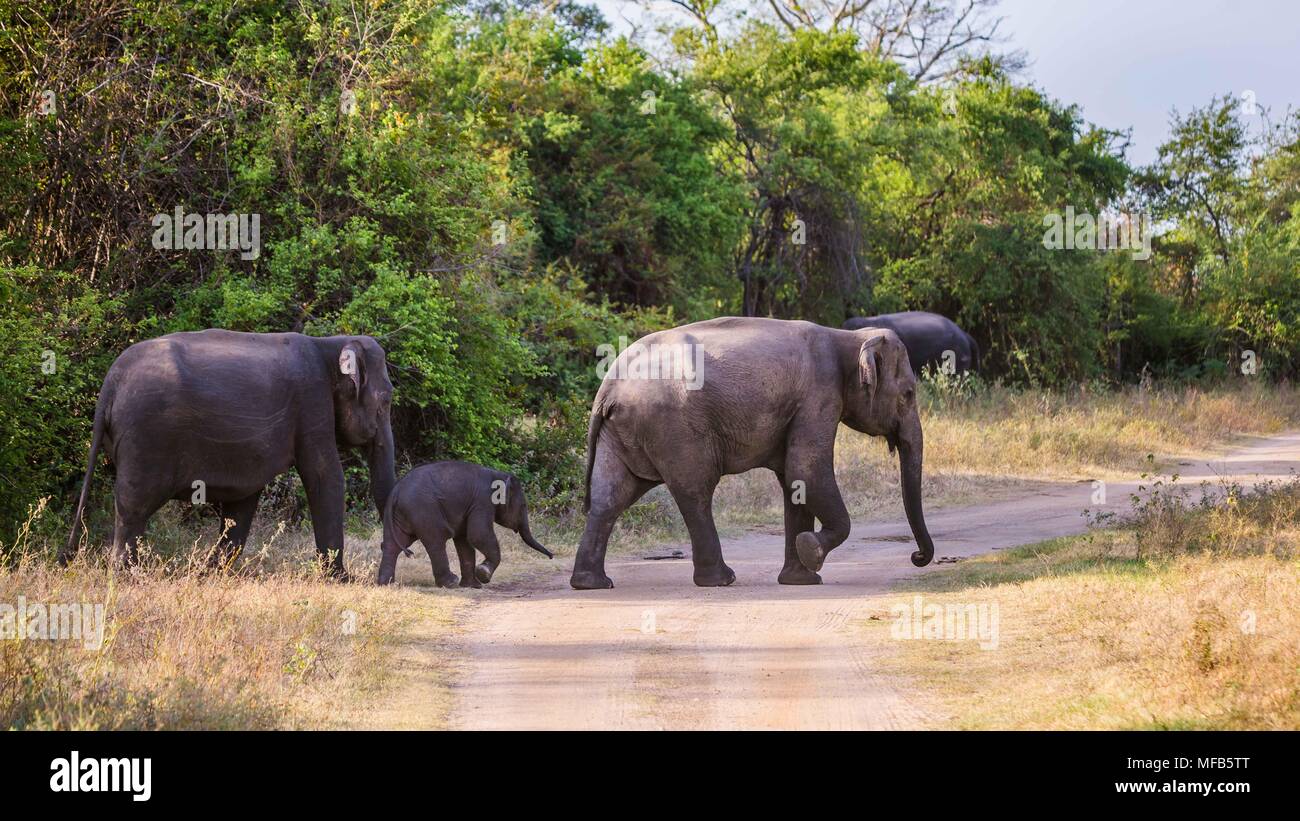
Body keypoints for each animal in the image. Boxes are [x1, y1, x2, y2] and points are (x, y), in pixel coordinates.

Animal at [60, 329, 397, 577]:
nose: (382, 580)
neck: (329, 343)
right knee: (133, 505)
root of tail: (110, 384)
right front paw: (340, 578)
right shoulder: (312, 401)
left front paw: (211, 573)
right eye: (386, 400)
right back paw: (126, 574)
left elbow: (243, 500)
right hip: (145, 437)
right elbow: (325, 475)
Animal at [377, 461, 552, 587]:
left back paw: (386, 584)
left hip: (398, 515)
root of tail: (396, 492)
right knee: (436, 541)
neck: (498, 474)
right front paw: (483, 575)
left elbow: (465, 541)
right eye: (523, 506)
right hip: (423, 510)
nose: (552, 556)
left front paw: (473, 585)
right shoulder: (482, 501)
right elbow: (478, 535)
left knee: (392, 544)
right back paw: (451, 583)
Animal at [571, 317, 935, 589]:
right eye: (908, 393)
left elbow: (795, 482)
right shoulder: (818, 395)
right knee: (695, 491)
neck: (847, 338)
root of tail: (609, 385)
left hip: (621, 431)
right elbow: (806, 469)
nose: (916, 558)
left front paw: (801, 579)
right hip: (672, 427)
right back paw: (722, 580)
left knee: (611, 496)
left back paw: (592, 583)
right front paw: (811, 551)